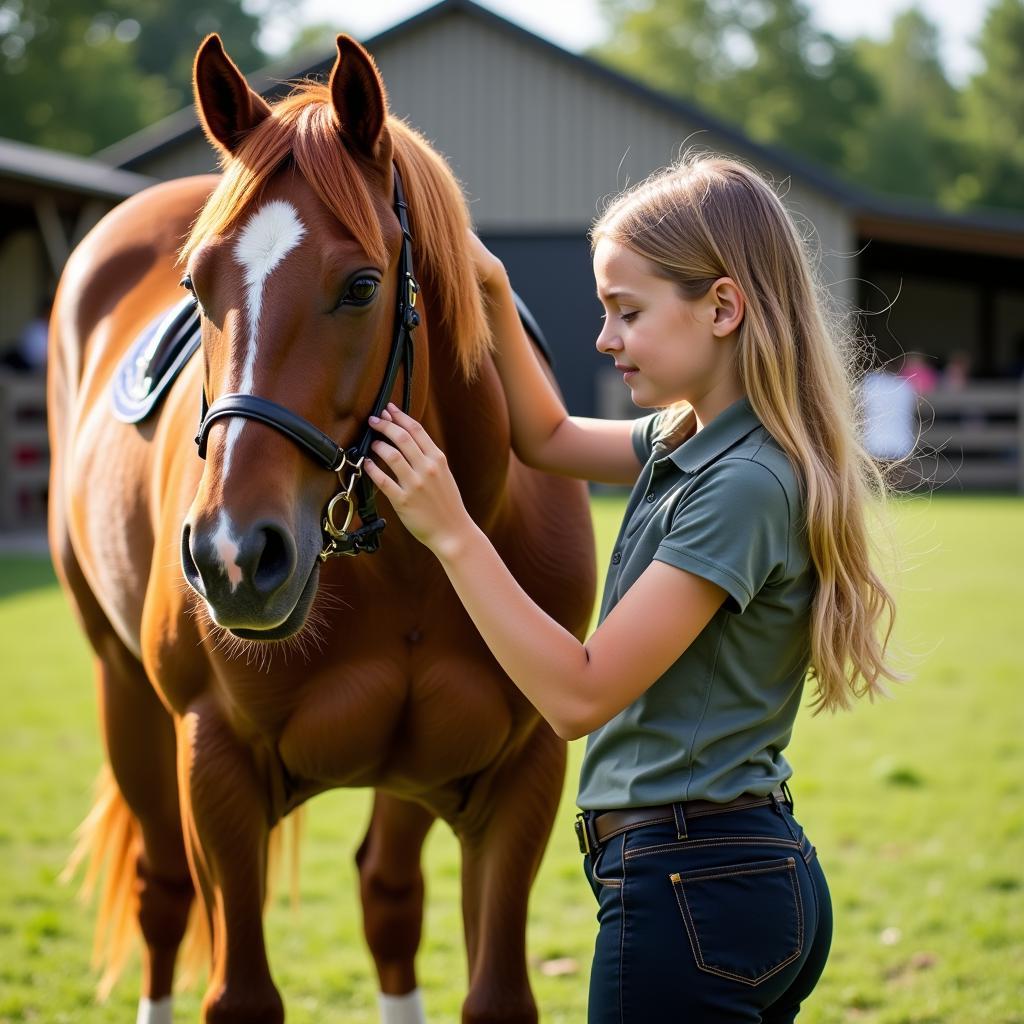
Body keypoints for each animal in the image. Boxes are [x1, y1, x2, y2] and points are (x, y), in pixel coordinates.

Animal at [49, 34, 593, 1024]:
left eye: (362, 286)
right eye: (196, 285)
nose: (232, 556)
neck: (410, 567)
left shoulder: (520, 777)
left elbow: (484, 983)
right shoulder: (215, 768)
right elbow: (239, 991)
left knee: (387, 895)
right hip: (123, 689)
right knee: (162, 894)